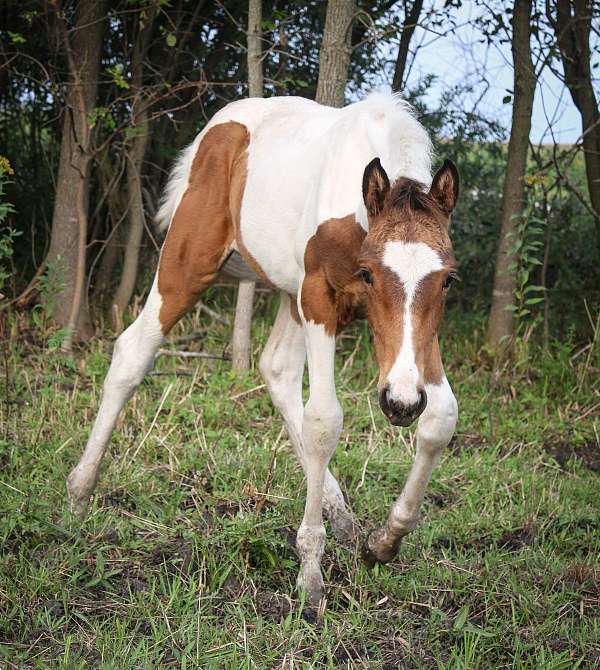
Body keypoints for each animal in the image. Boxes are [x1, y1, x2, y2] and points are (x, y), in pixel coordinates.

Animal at [67, 94, 460, 608]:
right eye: (370, 274)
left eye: (448, 280)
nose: (400, 404)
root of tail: (216, 125)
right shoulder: (318, 299)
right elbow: (324, 421)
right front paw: (311, 575)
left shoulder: (406, 340)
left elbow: (442, 417)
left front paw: (384, 541)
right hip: (189, 263)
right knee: (133, 351)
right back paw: (79, 493)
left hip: (287, 294)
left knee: (276, 370)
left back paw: (344, 518)